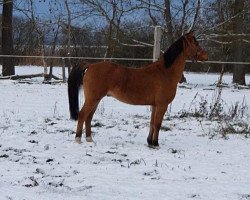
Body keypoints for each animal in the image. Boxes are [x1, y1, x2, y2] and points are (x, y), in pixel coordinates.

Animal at [67, 31, 207, 147]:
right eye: (195, 42)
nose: (206, 55)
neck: (165, 72)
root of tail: (90, 65)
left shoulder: (154, 105)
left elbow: (152, 123)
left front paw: (150, 142)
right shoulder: (162, 105)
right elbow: (158, 124)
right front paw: (156, 144)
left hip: (96, 100)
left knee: (89, 117)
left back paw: (89, 139)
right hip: (92, 99)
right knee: (82, 115)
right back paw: (78, 139)